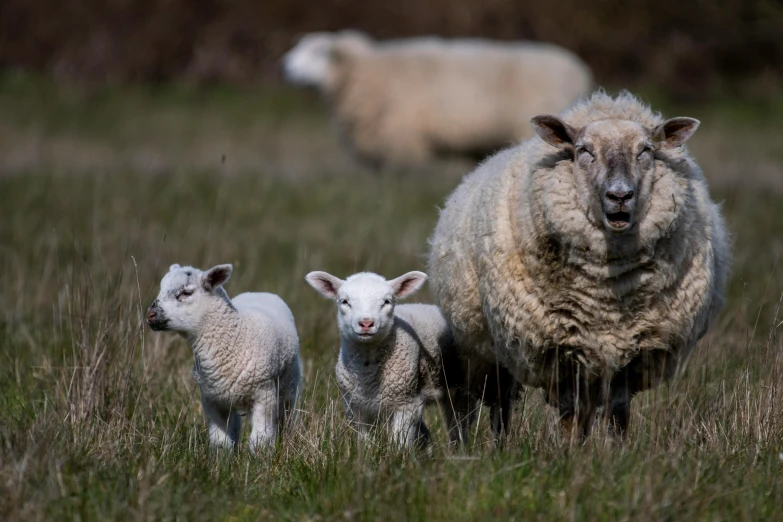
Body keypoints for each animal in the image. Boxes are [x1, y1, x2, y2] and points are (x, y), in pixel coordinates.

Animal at [148, 262, 304, 448]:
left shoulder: (264, 396)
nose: (150, 314)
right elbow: (220, 442)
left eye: (186, 293)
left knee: (285, 419)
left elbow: (260, 440)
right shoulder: (213, 402)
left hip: (289, 387)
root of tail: (258, 292)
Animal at [304, 268, 462, 446]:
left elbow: (399, 442)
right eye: (344, 301)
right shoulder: (355, 408)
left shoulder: (406, 404)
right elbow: (364, 443)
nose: (366, 323)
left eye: (387, 301)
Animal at [428, 90, 728, 438]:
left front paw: (615, 448)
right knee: (489, 403)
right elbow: (569, 412)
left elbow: (617, 410)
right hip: (483, 349)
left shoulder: (632, 349)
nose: (620, 195)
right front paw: (568, 449)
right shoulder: (562, 349)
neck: (608, 294)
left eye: (646, 150)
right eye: (584, 150)